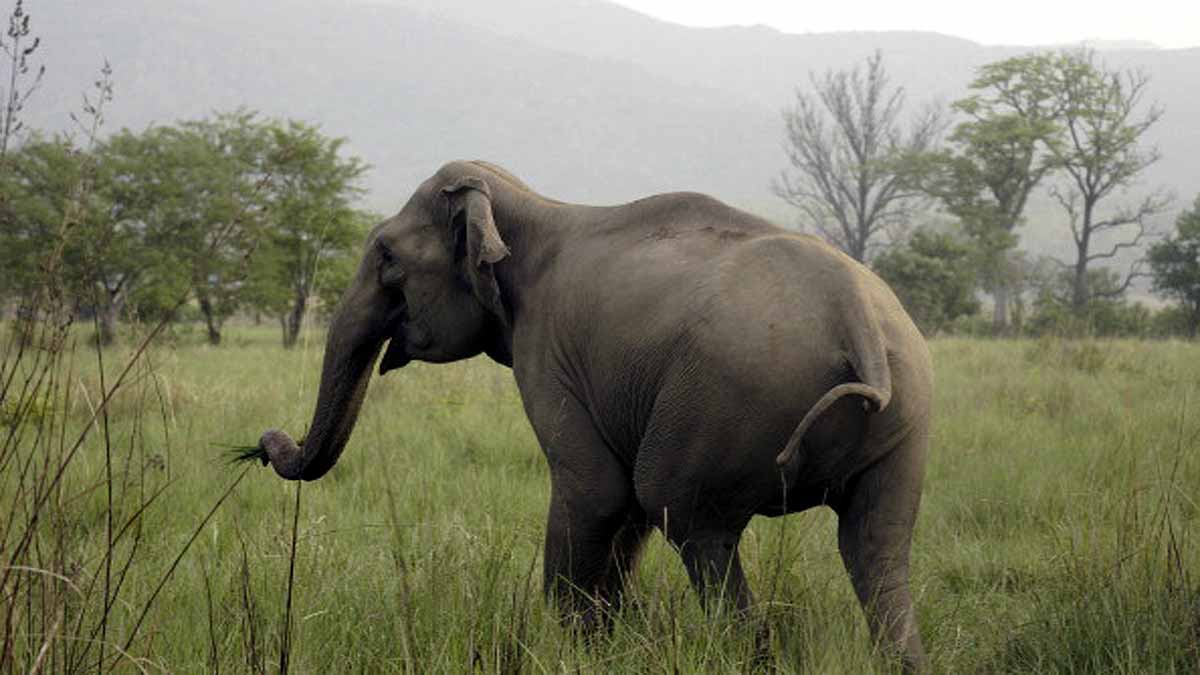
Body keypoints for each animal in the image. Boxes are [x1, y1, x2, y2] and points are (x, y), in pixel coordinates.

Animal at [256, 160, 933, 670]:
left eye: (387, 257)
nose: (265, 443)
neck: (531, 206)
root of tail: (859, 320)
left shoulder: (548, 351)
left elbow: (599, 492)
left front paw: (584, 653)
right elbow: (622, 508)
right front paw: (616, 645)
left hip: (726, 401)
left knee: (685, 514)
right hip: (902, 425)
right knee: (875, 545)